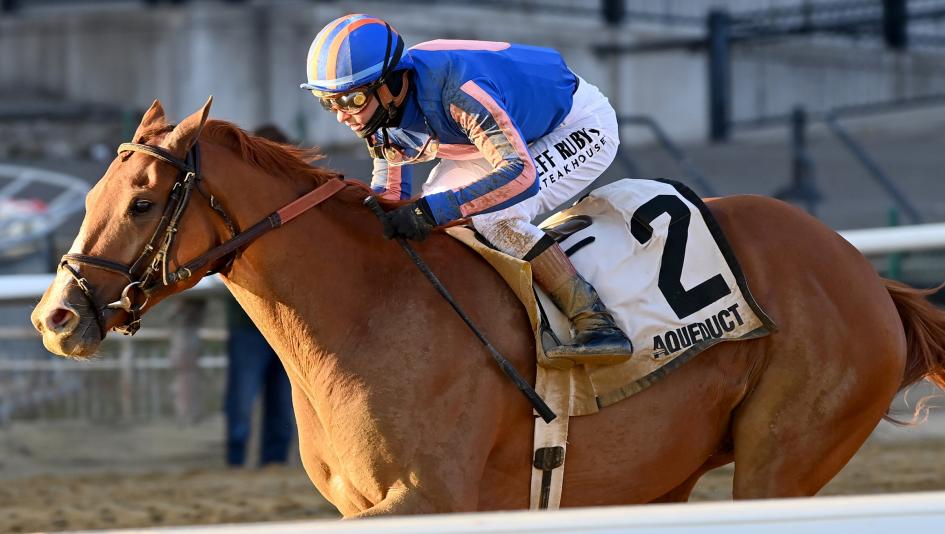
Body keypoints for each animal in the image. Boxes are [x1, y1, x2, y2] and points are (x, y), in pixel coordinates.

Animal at [32, 99, 945, 517]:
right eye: (94, 193)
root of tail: (868, 277)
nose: (55, 317)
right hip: (661, 476)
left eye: (143, 201)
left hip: (780, 461)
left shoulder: (426, 499)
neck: (363, 311)